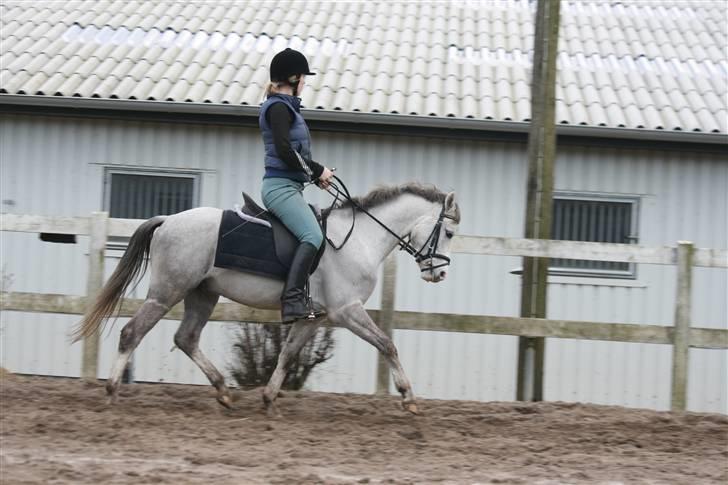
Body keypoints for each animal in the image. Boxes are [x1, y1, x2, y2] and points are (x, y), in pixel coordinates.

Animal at [72, 182, 460, 416]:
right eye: (450, 232)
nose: (439, 273)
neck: (359, 238)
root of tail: (168, 220)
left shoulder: (317, 317)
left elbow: (287, 354)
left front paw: (269, 399)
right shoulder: (347, 311)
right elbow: (387, 345)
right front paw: (408, 398)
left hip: (203, 294)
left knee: (186, 338)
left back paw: (223, 391)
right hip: (168, 291)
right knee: (132, 333)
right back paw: (111, 393)